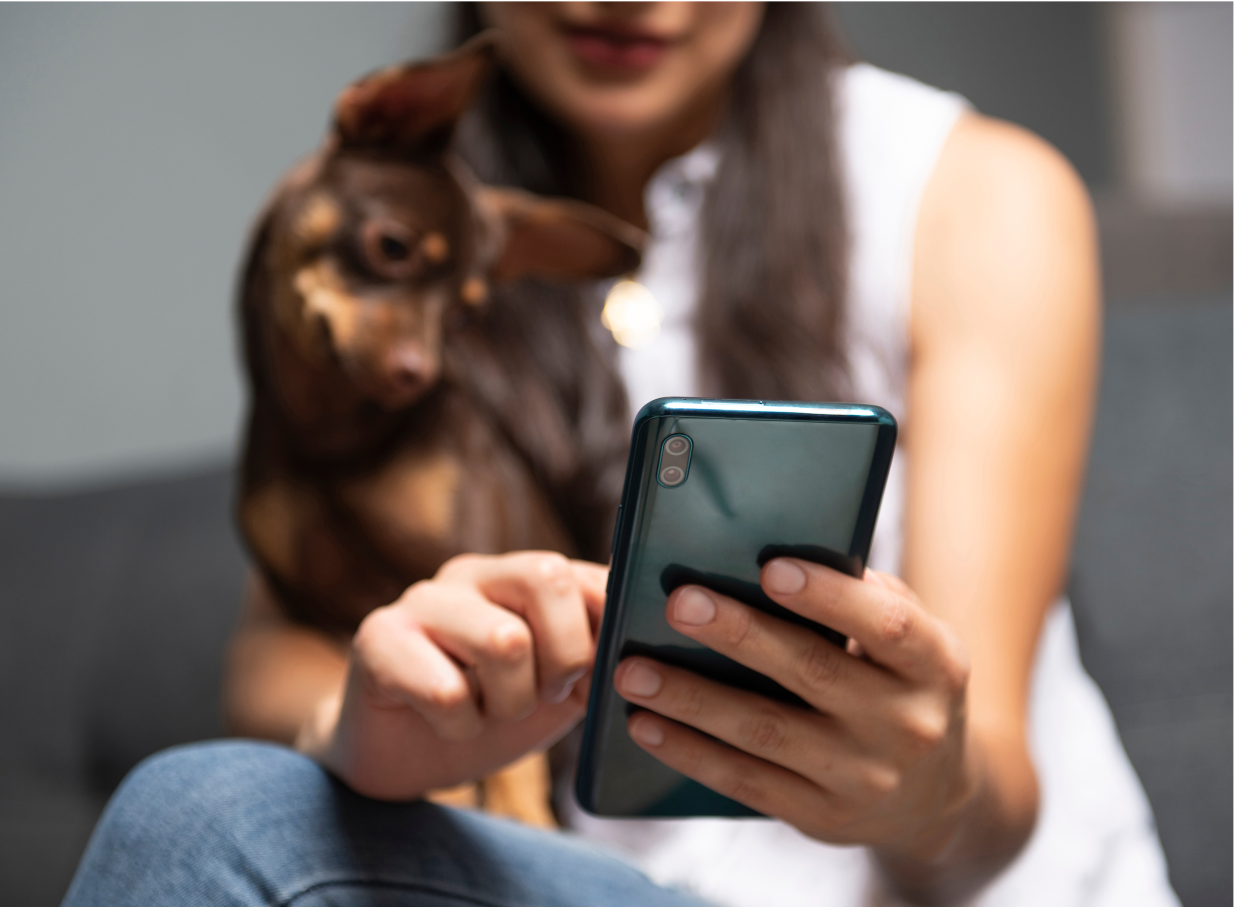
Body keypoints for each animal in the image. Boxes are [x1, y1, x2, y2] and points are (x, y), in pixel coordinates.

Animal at [234, 35, 636, 824]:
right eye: (391, 247)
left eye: (466, 314)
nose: (417, 373)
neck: (332, 443)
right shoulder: (317, 613)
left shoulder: (474, 565)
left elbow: (509, 751)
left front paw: (517, 815)